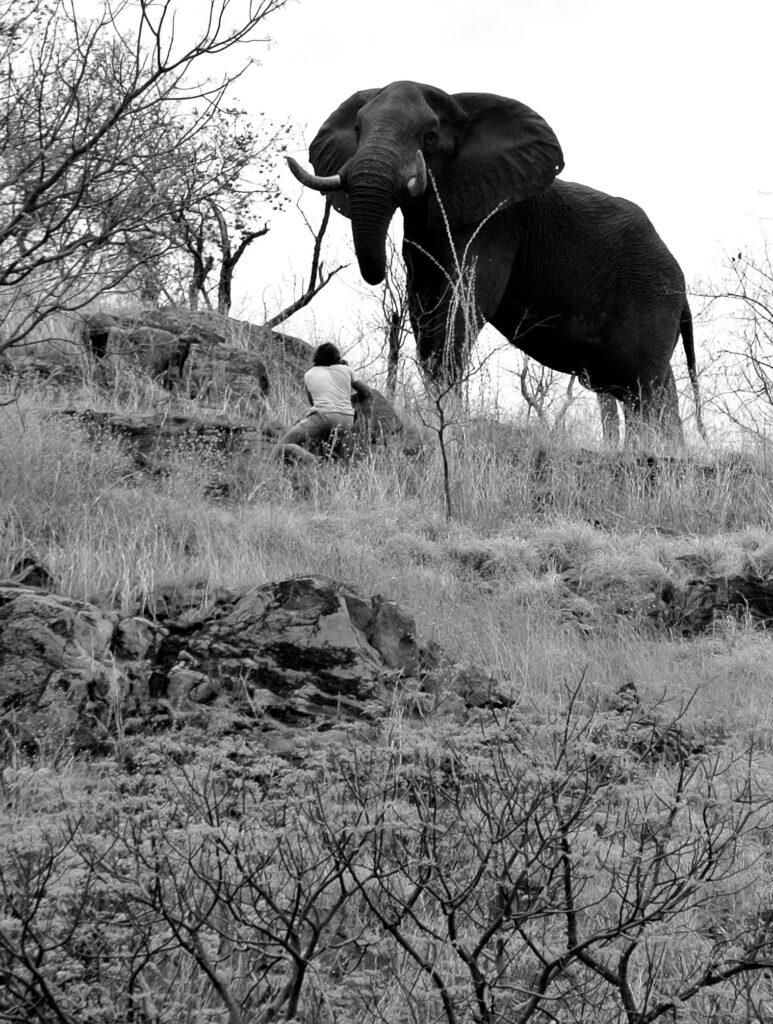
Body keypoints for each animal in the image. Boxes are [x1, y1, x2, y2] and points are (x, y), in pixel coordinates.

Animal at [286, 81, 704, 442]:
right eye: (358, 129)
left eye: (430, 137)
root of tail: (682, 287)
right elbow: (424, 310)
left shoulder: (496, 224)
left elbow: (462, 307)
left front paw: (449, 416)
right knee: (635, 390)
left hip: (651, 298)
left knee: (647, 388)